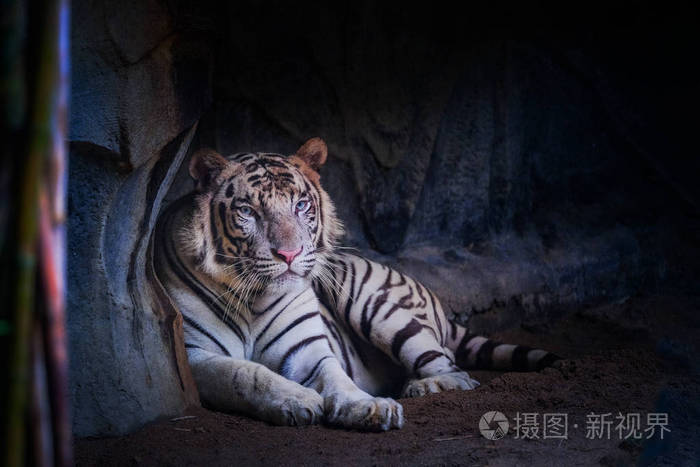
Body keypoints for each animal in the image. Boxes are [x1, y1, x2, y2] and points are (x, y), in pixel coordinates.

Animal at [153, 137, 559, 431]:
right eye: (247, 211)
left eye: (301, 205)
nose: (289, 254)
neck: (254, 299)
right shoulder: (192, 354)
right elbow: (245, 373)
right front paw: (299, 400)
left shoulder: (307, 349)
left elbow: (335, 375)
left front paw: (368, 406)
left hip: (373, 305)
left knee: (453, 368)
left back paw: (422, 387)